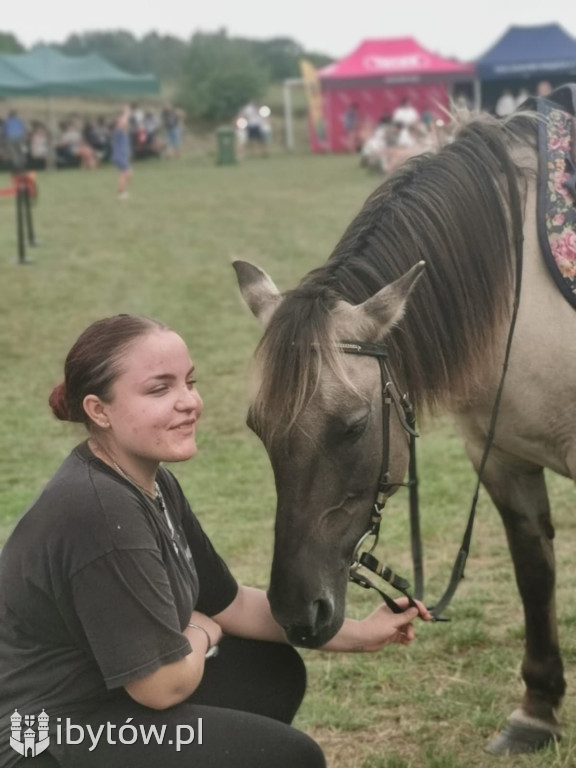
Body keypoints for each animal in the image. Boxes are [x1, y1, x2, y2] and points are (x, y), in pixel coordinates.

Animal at [232, 96, 576, 756]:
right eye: (258, 429)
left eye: (353, 425)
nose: (295, 614)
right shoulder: (500, 458)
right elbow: (534, 572)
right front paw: (537, 713)